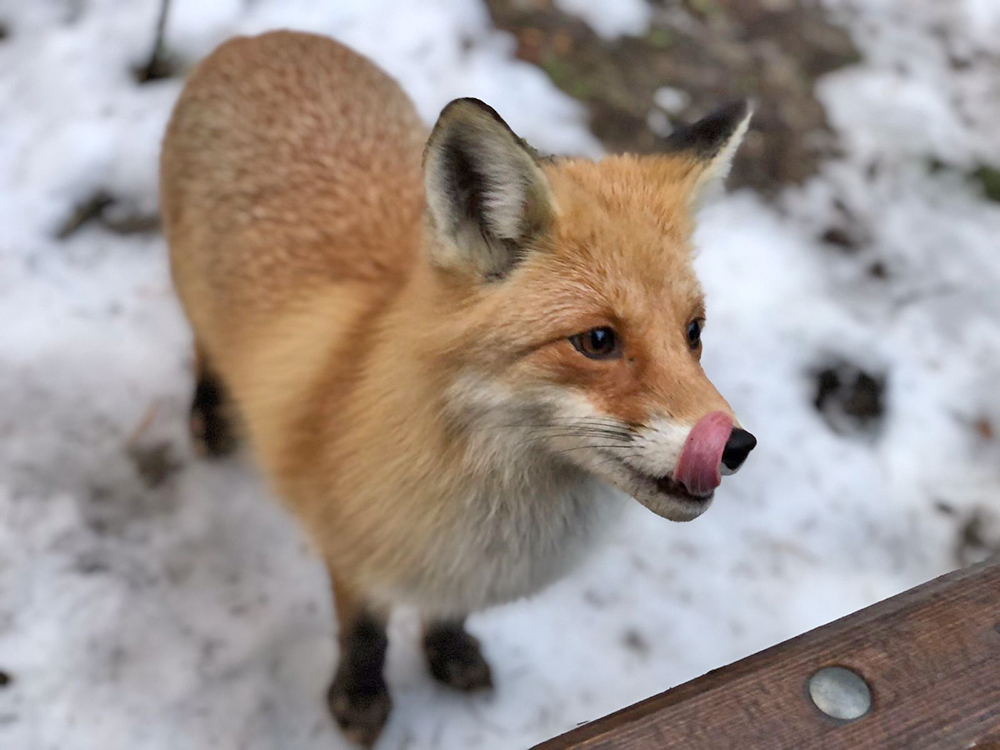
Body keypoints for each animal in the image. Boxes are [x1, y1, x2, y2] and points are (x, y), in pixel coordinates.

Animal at [160, 29, 756, 748]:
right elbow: (364, 634)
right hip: (193, 295)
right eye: (597, 341)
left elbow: (449, 616)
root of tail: (261, 38)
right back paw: (209, 412)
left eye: (693, 331)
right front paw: (360, 698)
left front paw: (448, 652)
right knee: (202, 346)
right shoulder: (351, 548)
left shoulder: (460, 571)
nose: (736, 445)